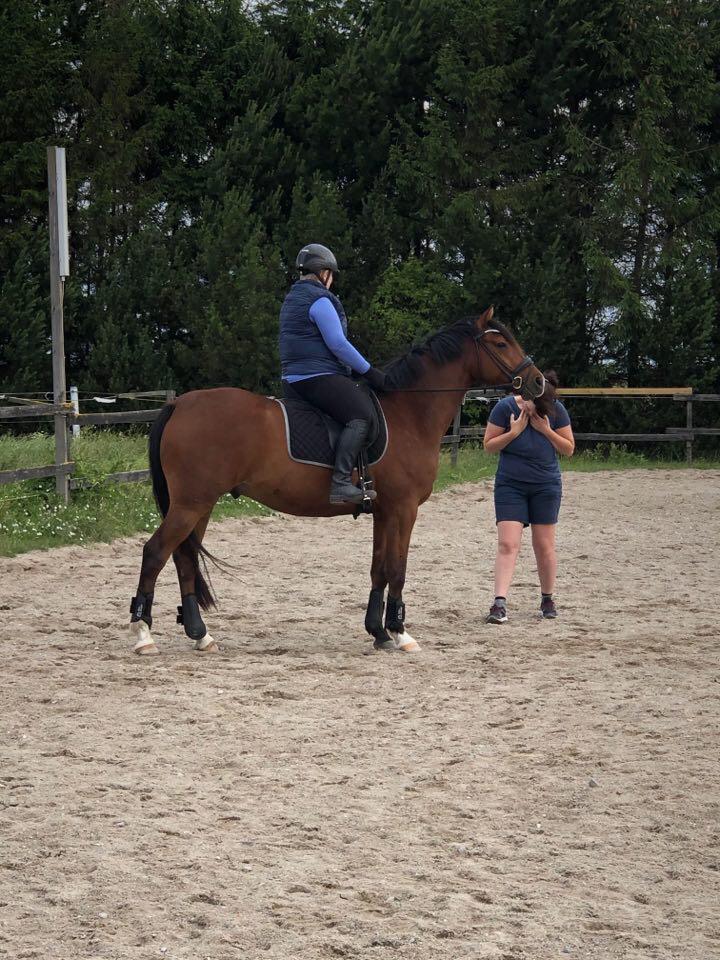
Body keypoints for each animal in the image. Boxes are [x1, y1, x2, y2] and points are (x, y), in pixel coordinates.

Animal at [131, 308, 544, 652]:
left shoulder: (384, 511)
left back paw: (200, 635)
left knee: (183, 558)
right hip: (191, 504)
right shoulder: (404, 509)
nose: (539, 382)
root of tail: (179, 403)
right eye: (501, 343)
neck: (409, 412)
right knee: (155, 553)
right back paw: (143, 634)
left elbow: (379, 568)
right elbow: (398, 568)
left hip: (199, 506)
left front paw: (378, 632)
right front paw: (399, 632)